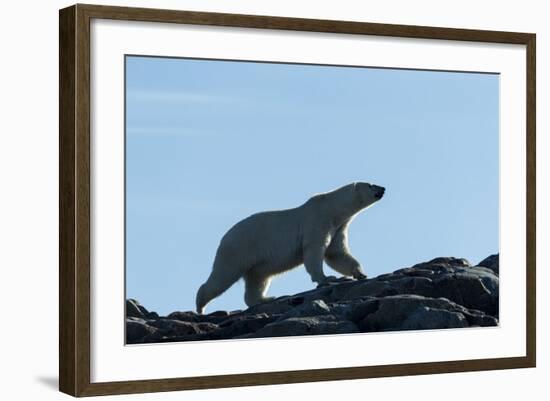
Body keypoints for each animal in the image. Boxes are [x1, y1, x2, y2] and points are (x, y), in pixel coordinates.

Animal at [196, 181, 386, 312]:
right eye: (371, 185)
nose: (383, 188)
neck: (332, 209)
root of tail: (224, 238)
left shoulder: (337, 227)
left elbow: (337, 253)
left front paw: (360, 273)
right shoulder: (317, 221)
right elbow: (315, 252)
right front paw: (328, 278)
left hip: (255, 261)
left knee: (258, 279)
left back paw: (265, 299)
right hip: (239, 248)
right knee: (222, 276)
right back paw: (200, 305)